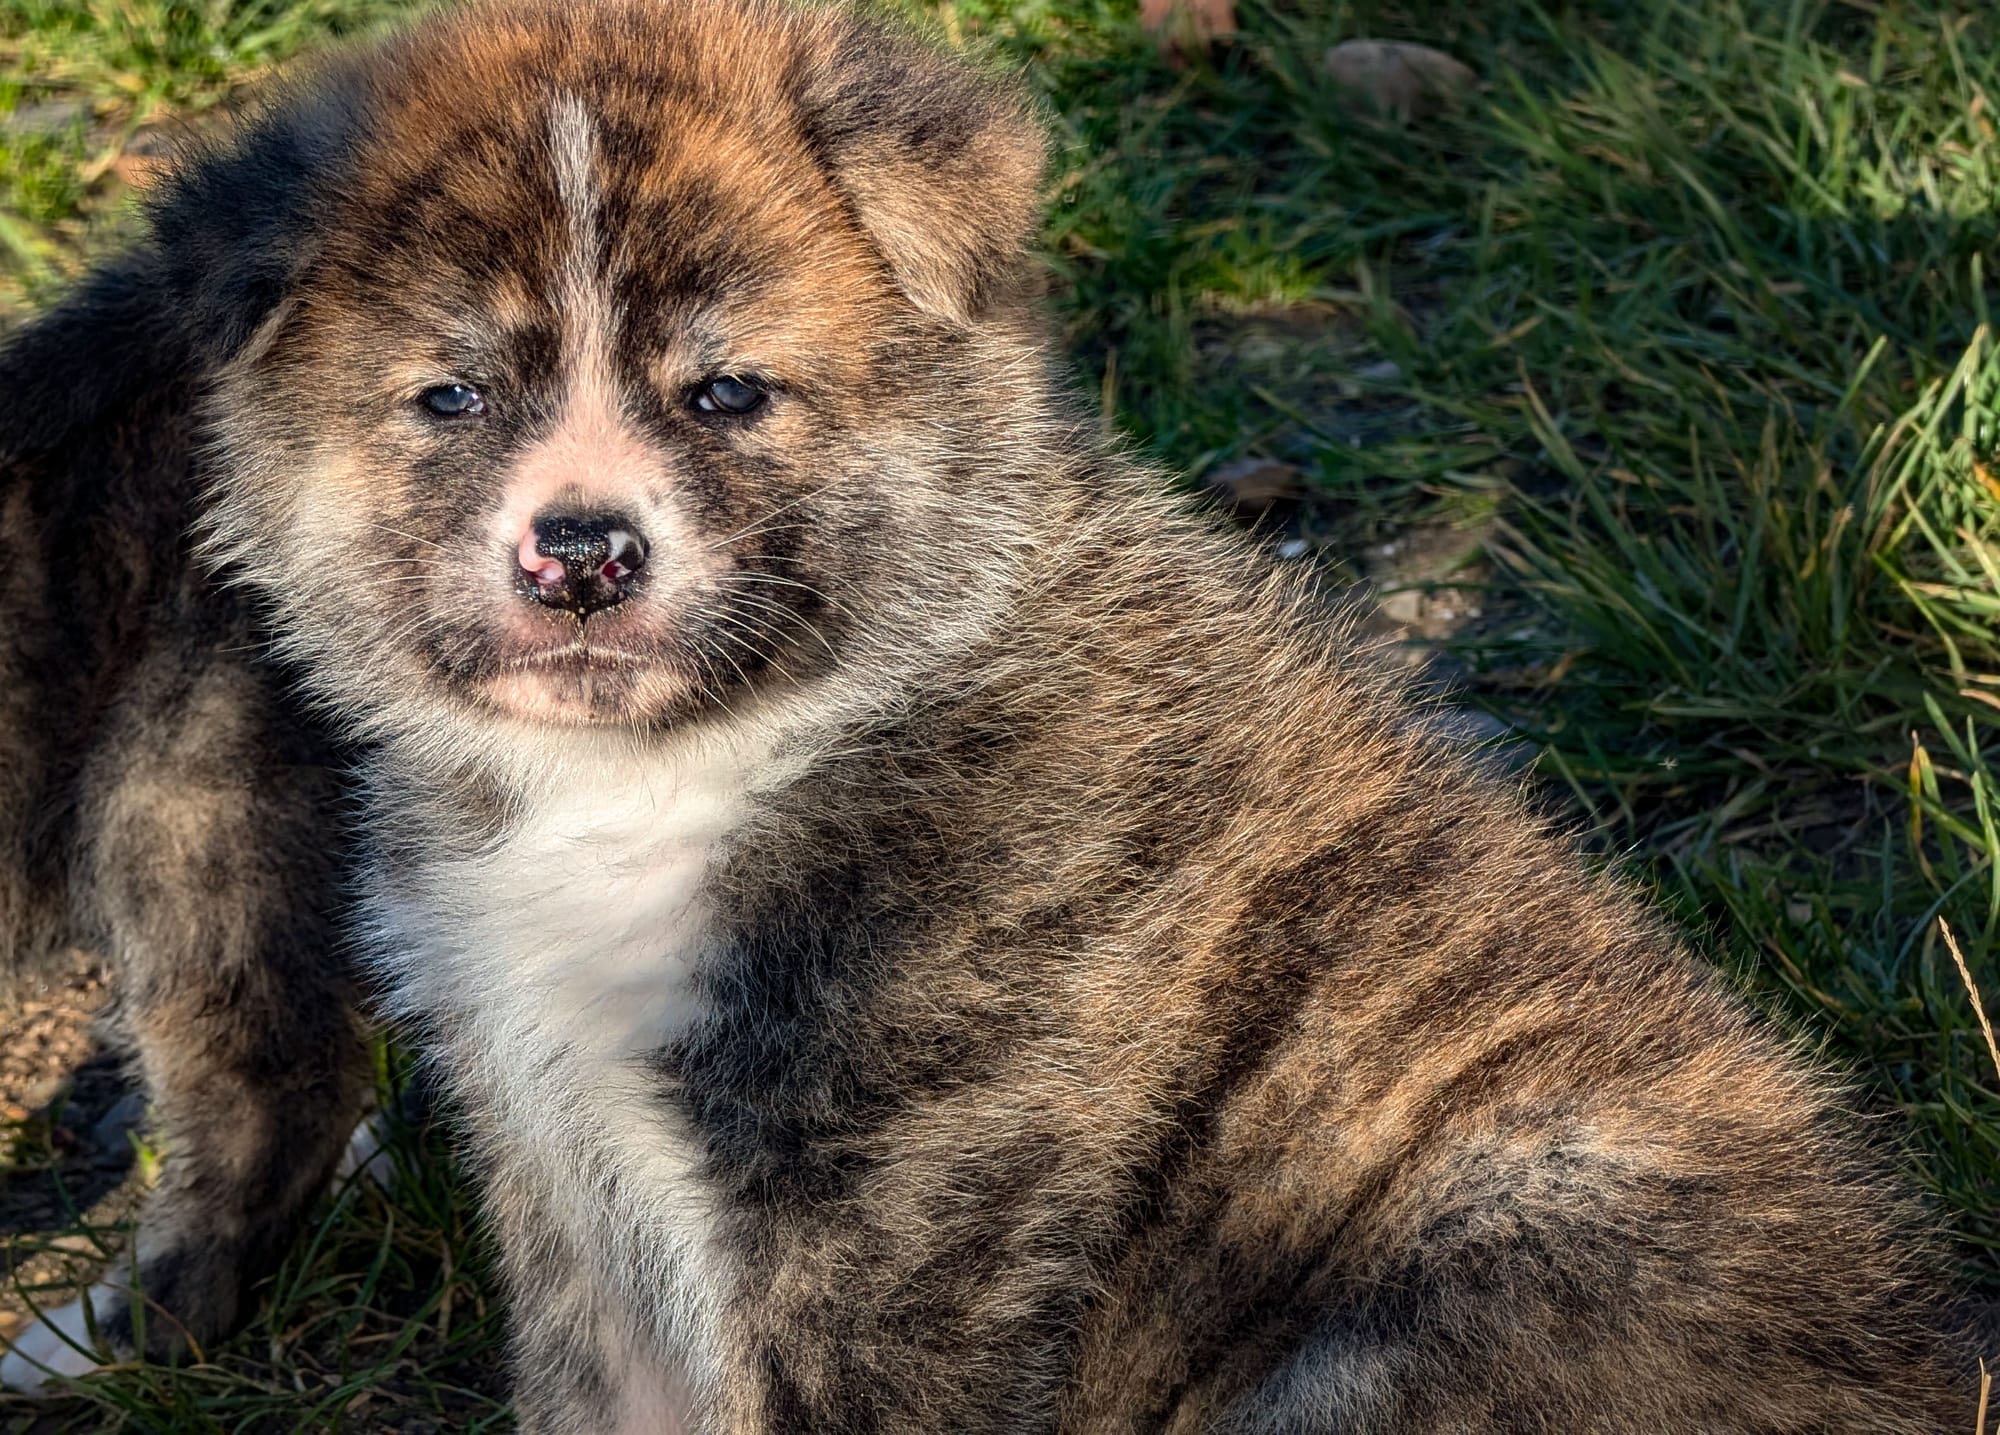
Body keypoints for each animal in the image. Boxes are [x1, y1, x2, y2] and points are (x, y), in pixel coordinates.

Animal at [39, 0, 1976, 1431]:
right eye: (448, 397)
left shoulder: (907, 1206)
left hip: (1478, 1261)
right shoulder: (570, 1172)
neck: (691, 770)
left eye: (728, 392)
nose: (581, 551)